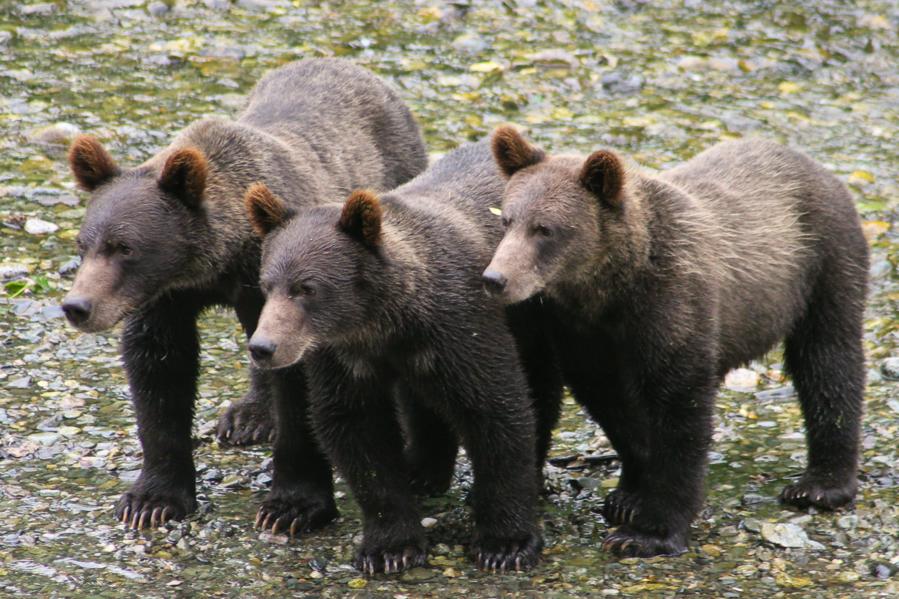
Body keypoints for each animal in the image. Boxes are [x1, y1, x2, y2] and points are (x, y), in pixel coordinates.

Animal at [60, 58, 428, 530]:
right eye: (84, 245)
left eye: (125, 247)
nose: (77, 306)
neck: (216, 263)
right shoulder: (166, 298)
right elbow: (159, 372)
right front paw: (151, 499)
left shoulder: (279, 291)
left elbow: (298, 387)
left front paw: (292, 505)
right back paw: (249, 415)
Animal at [242, 139, 561, 574]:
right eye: (266, 285)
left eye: (306, 288)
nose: (263, 346)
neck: (386, 323)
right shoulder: (344, 357)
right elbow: (357, 432)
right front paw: (390, 547)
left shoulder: (461, 327)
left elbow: (496, 408)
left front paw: (504, 543)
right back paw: (422, 471)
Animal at [482, 126, 869, 557]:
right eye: (506, 219)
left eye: (545, 228)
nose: (496, 278)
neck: (610, 288)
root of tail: (813, 165)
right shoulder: (581, 331)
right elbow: (613, 403)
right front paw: (629, 494)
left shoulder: (673, 304)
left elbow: (680, 411)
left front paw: (648, 531)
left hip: (824, 260)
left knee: (828, 360)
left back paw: (821, 484)